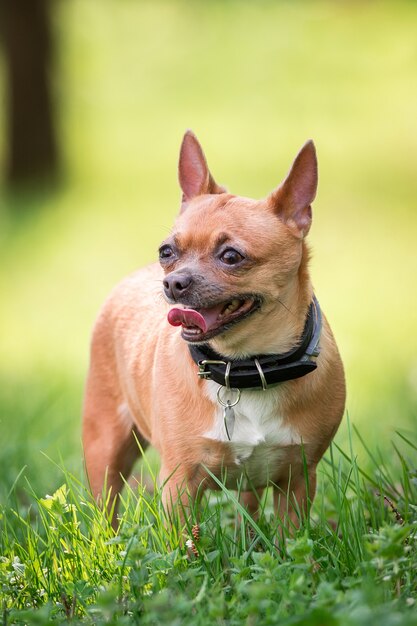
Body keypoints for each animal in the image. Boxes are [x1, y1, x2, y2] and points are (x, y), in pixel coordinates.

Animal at [82, 130, 344, 528]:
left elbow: (290, 538)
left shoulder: (297, 479)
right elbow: (184, 542)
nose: (173, 282)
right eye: (166, 252)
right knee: (105, 509)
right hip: (106, 449)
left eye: (231, 256)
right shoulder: (179, 484)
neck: (246, 364)